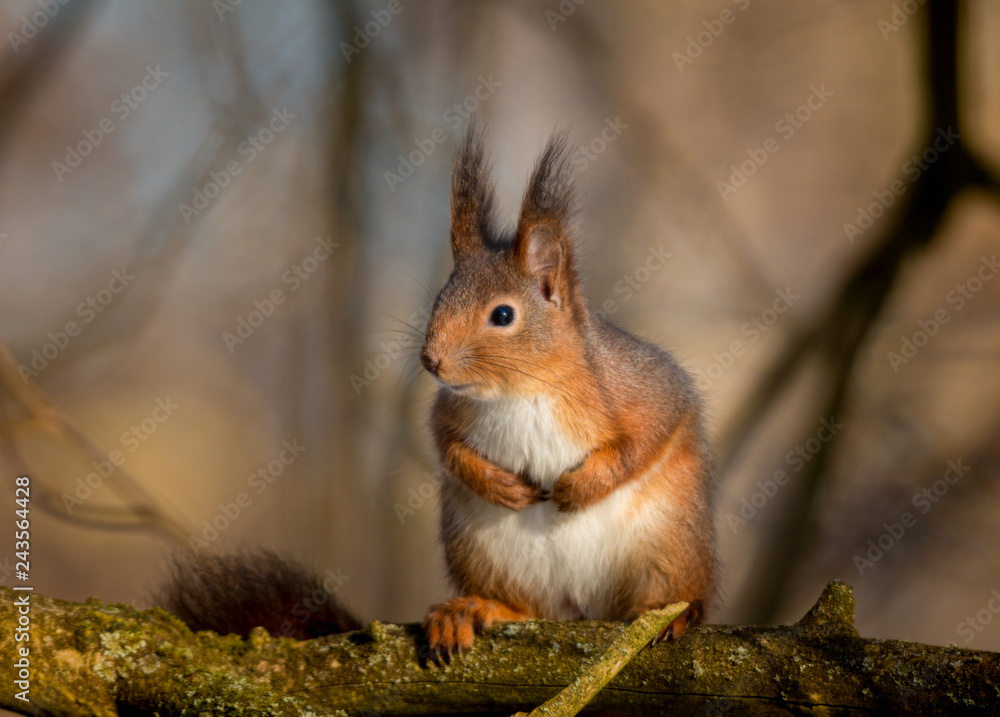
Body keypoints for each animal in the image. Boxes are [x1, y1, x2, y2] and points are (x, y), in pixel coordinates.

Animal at [419, 124, 717, 659]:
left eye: (502, 314)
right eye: (439, 298)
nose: (430, 361)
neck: (523, 390)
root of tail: (582, 607)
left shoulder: (642, 388)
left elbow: (648, 437)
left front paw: (580, 488)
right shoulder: (449, 408)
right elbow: (448, 447)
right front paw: (500, 485)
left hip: (669, 545)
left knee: (677, 593)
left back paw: (675, 613)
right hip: (485, 552)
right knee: (526, 607)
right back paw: (470, 611)